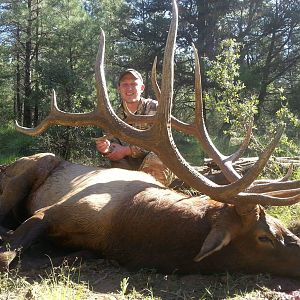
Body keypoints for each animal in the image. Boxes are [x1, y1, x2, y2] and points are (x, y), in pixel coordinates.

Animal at [4, 0, 300, 276]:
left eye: (279, 223)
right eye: (265, 237)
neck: (121, 228)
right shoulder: (52, 210)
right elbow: (7, 256)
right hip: (27, 171)